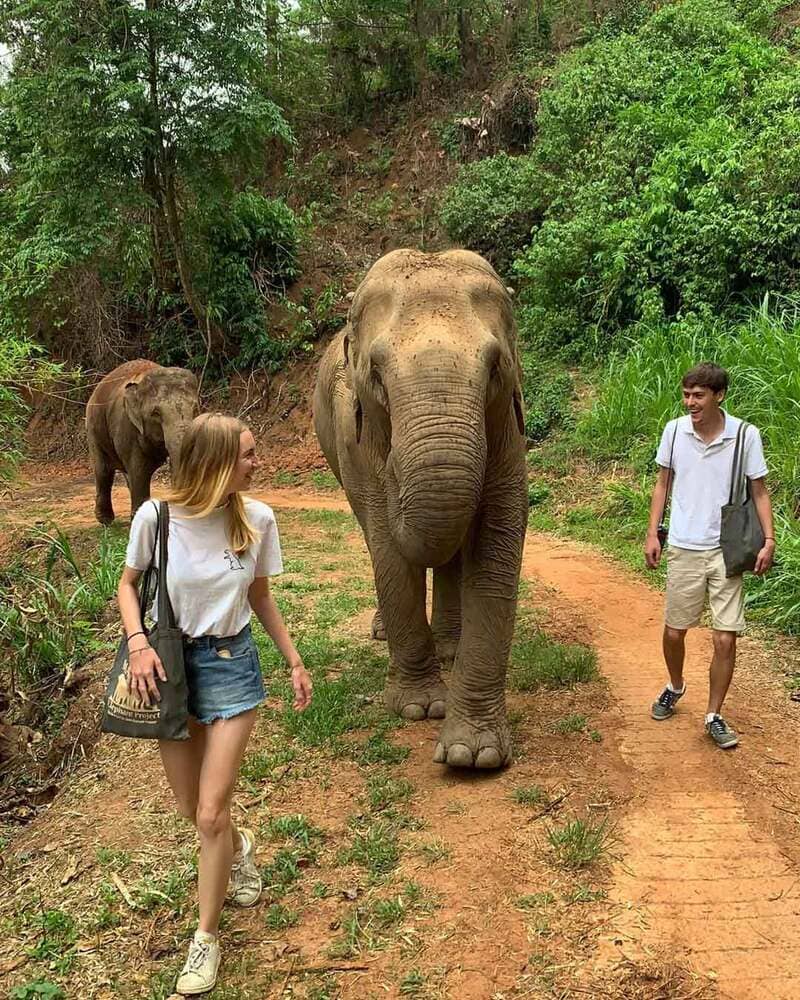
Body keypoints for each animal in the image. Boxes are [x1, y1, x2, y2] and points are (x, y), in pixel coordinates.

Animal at [85, 362, 199, 532]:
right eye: (156, 413)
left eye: (195, 408)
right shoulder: (128, 427)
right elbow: (140, 471)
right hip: (93, 425)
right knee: (104, 470)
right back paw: (105, 521)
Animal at [314, 248, 532, 764]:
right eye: (375, 373)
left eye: (495, 367)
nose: (395, 468)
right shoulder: (357, 442)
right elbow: (388, 547)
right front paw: (419, 709)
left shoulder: (507, 427)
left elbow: (498, 537)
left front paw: (472, 755)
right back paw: (385, 633)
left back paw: (449, 649)